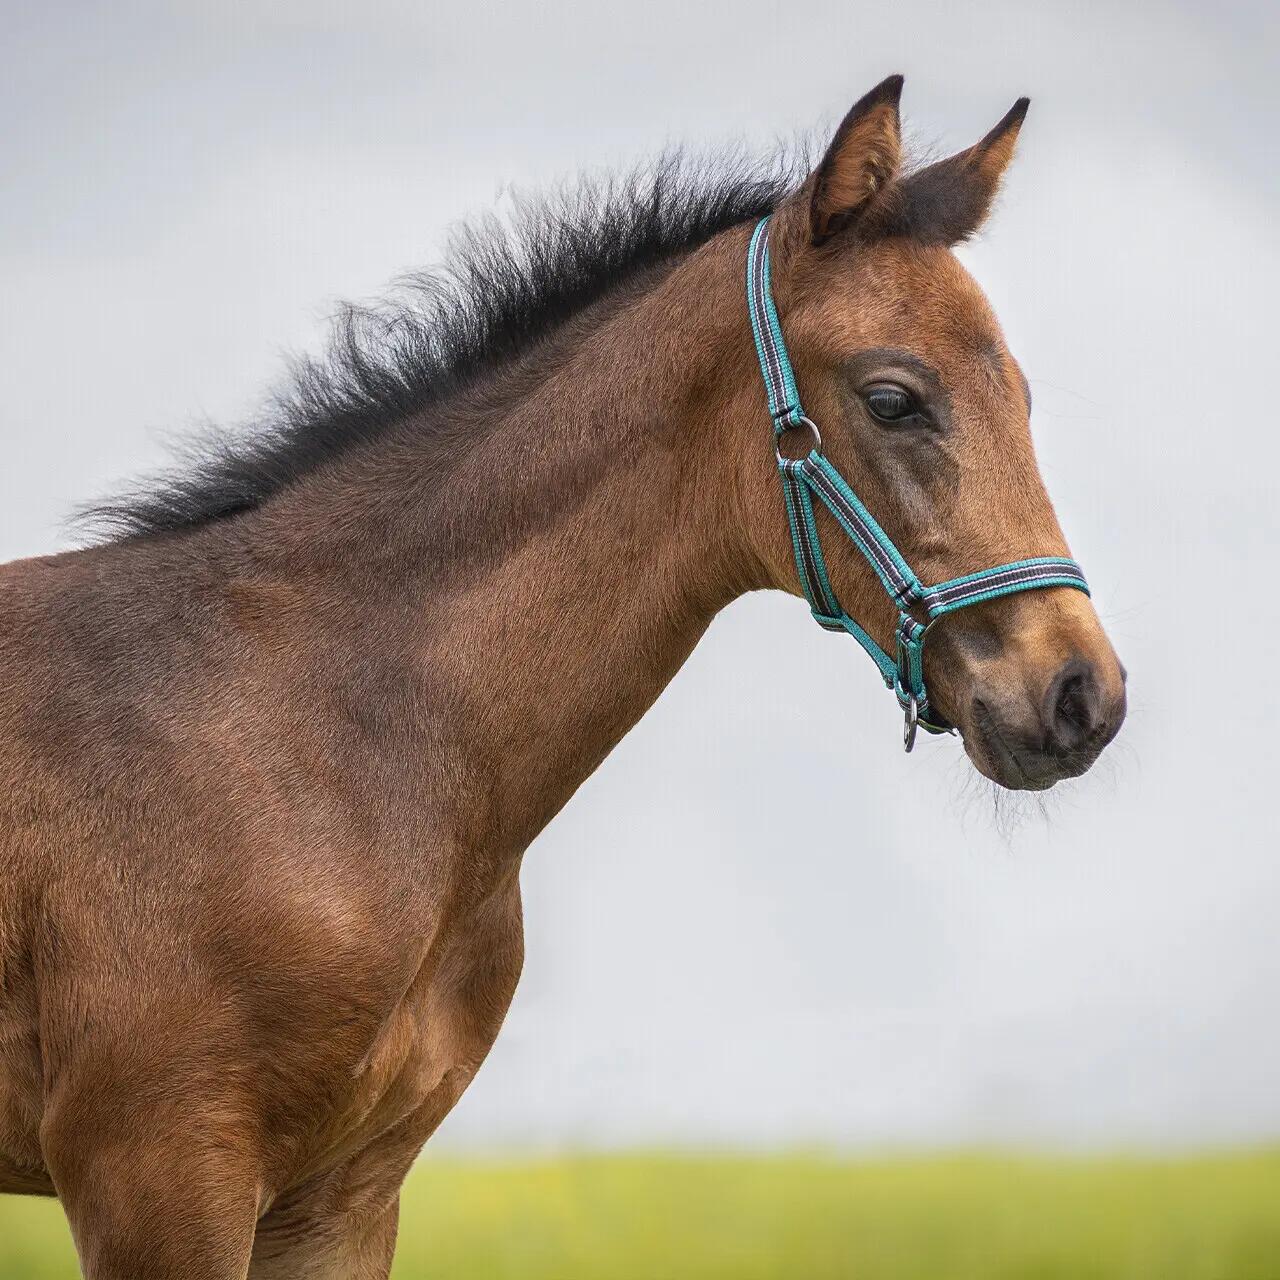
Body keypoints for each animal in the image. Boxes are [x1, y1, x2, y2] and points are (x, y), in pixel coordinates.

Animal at [0, 76, 1126, 1277]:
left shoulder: (341, 1195)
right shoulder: (157, 1169)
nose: (1080, 694)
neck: (330, 731)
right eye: (893, 398)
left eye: (1019, 392)